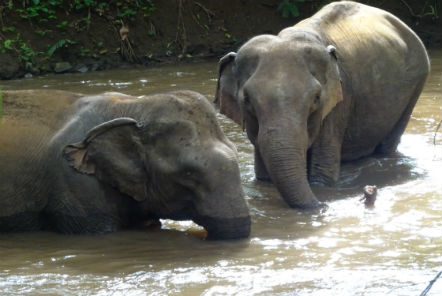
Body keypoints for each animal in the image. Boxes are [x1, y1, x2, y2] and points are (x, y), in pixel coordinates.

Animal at [216, 0, 430, 208]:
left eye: (316, 98)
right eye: (247, 100)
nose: (369, 193)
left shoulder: (339, 101)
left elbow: (323, 174)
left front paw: (321, 187)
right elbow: (263, 177)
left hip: (417, 84)